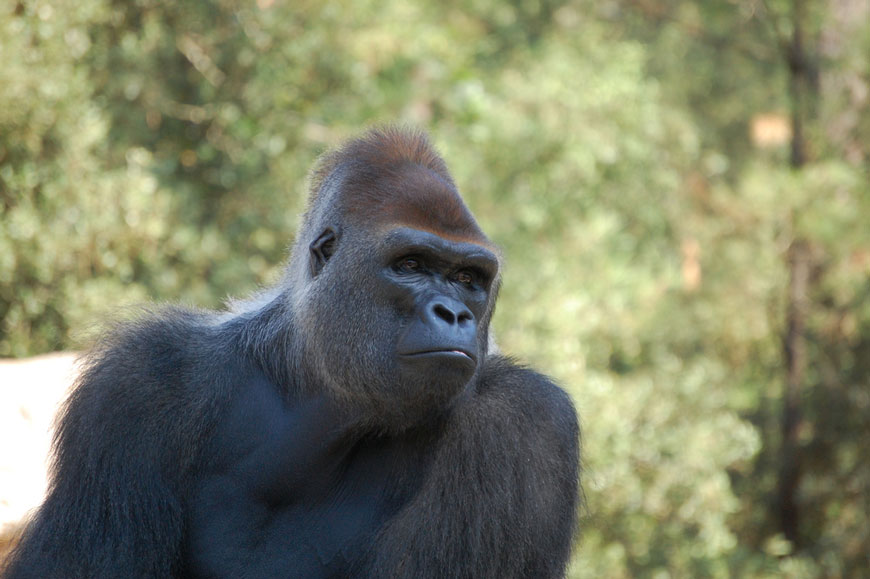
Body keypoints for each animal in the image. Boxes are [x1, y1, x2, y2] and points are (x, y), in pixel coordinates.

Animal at [5, 128, 584, 579]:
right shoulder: (140, 385)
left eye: (468, 279)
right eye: (411, 265)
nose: (455, 314)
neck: (315, 386)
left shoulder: (525, 423)